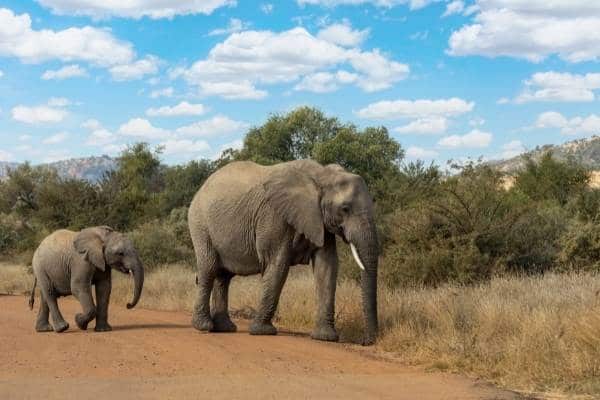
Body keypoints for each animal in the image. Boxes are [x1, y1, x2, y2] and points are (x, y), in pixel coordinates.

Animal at [188, 159, 380, 344]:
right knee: (209, 268)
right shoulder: (274, 216)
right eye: (345, 209)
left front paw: (325, 337)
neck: (321, 174)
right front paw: (262, 332)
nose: (365, 341)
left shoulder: (319, 220)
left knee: (224, 277)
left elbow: (327, 267)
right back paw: (204, 326)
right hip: (200, 225)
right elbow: (277, 264)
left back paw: (225, 328)